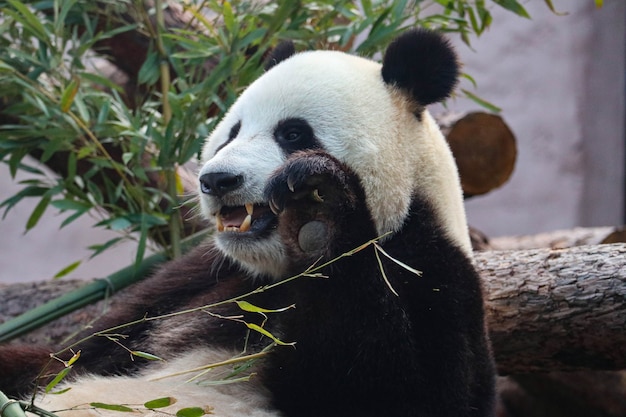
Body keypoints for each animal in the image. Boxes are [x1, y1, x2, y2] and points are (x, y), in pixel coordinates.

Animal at [2, 28, 494, 416]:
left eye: (292, 133)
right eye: (232, 132)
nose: (217, 180)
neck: (274, 271)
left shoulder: (433, 272)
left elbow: (408, 394)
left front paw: (318, 216)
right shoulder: (192, 278)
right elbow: (62, 361)